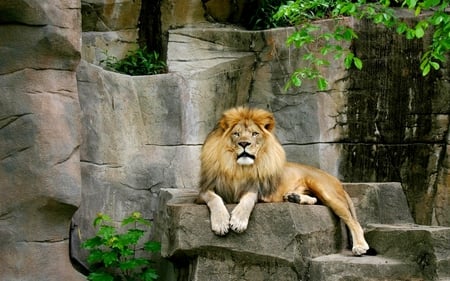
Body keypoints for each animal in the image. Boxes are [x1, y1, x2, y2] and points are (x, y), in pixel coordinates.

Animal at [197, 106, 370, 255]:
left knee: (353, 221)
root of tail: (336, 179)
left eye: (254, 134)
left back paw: (360, 246)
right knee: (317, 200)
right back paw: (294, 197)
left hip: (325, 190)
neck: (238, 168)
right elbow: (214, 198)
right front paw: (221, 223)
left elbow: (248, 198)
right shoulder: (203, 190)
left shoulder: (260, 189)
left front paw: (239, 221)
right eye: (236, 134)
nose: (244, 143)